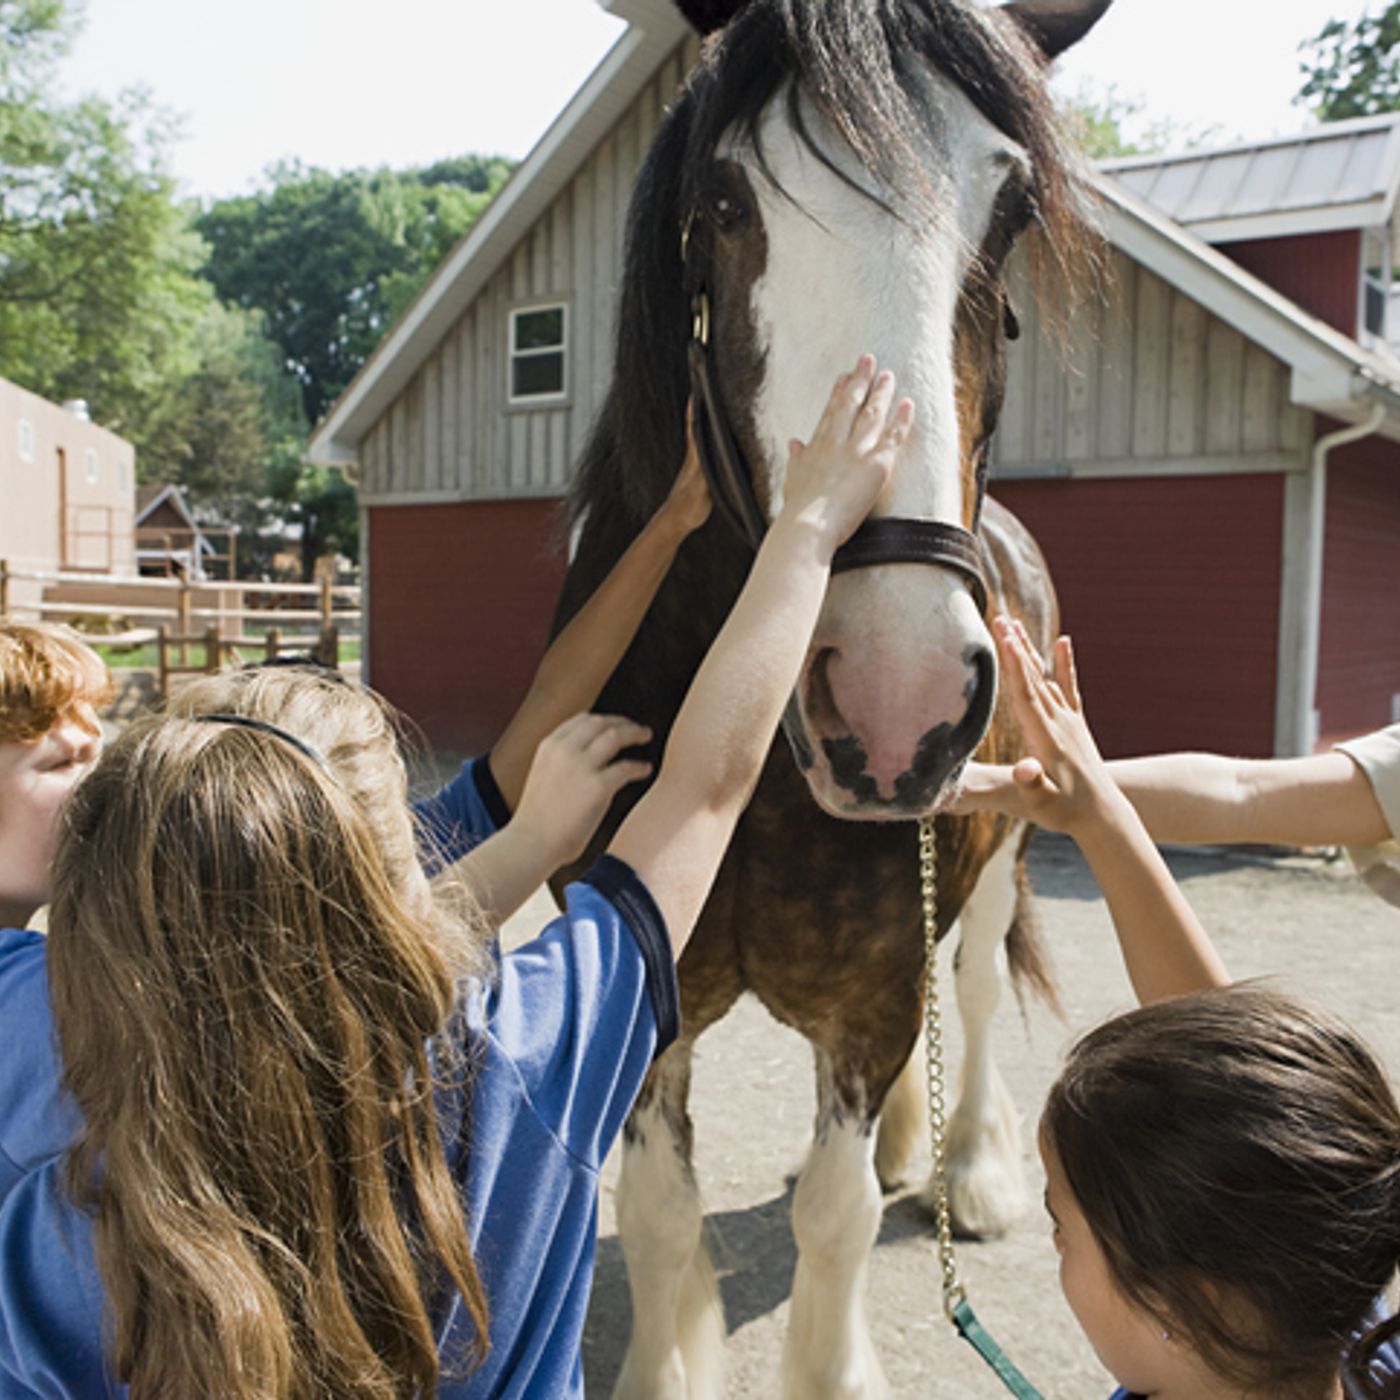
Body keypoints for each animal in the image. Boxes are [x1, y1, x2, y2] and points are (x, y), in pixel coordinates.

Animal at [552, 1, 1108, 1393]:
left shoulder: (870, 988)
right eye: (723, 200)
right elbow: (658, 1209)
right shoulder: (653, 980)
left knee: (972, 991)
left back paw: (969, 1168)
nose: (896, 698)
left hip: (1004, 855)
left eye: (1009, 210)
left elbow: (835, 1216)